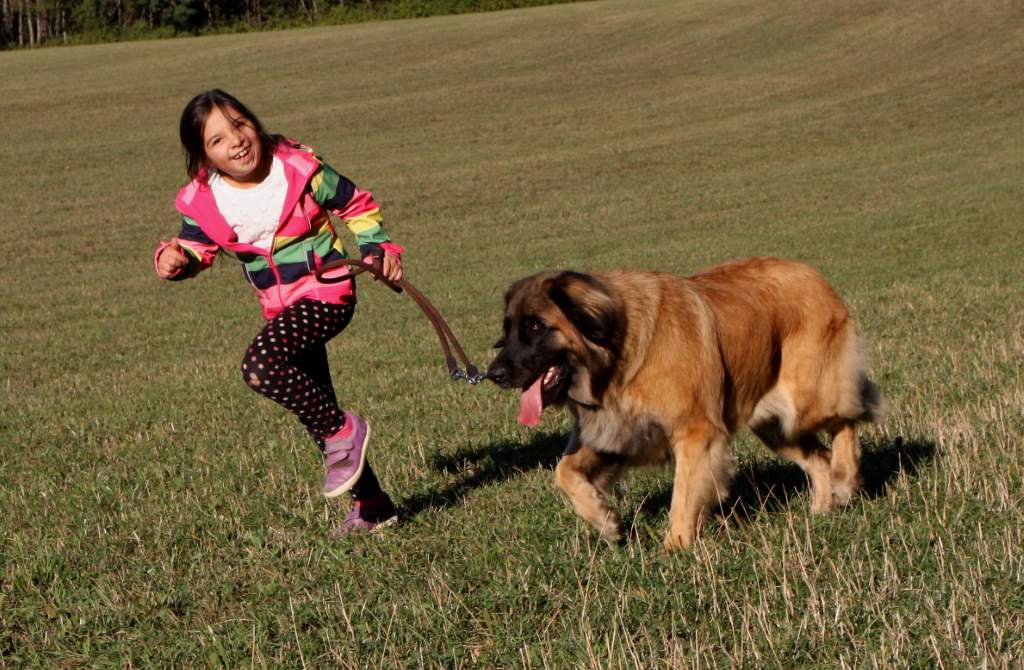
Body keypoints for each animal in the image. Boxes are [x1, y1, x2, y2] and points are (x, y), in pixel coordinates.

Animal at [483, 257, 884, 553]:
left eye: (535, 327)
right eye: (509, 328)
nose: (493, 373)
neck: (620, 354)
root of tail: (813, 274)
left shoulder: (696, 433)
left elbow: (684, 493)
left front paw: (674, 547)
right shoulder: (617, 434)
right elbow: (564, 472)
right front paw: (605, 520)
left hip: (805, 401)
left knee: (845, 422)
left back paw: (846, 479)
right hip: (773, 423)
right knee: (819, 456)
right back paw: (822, 509)